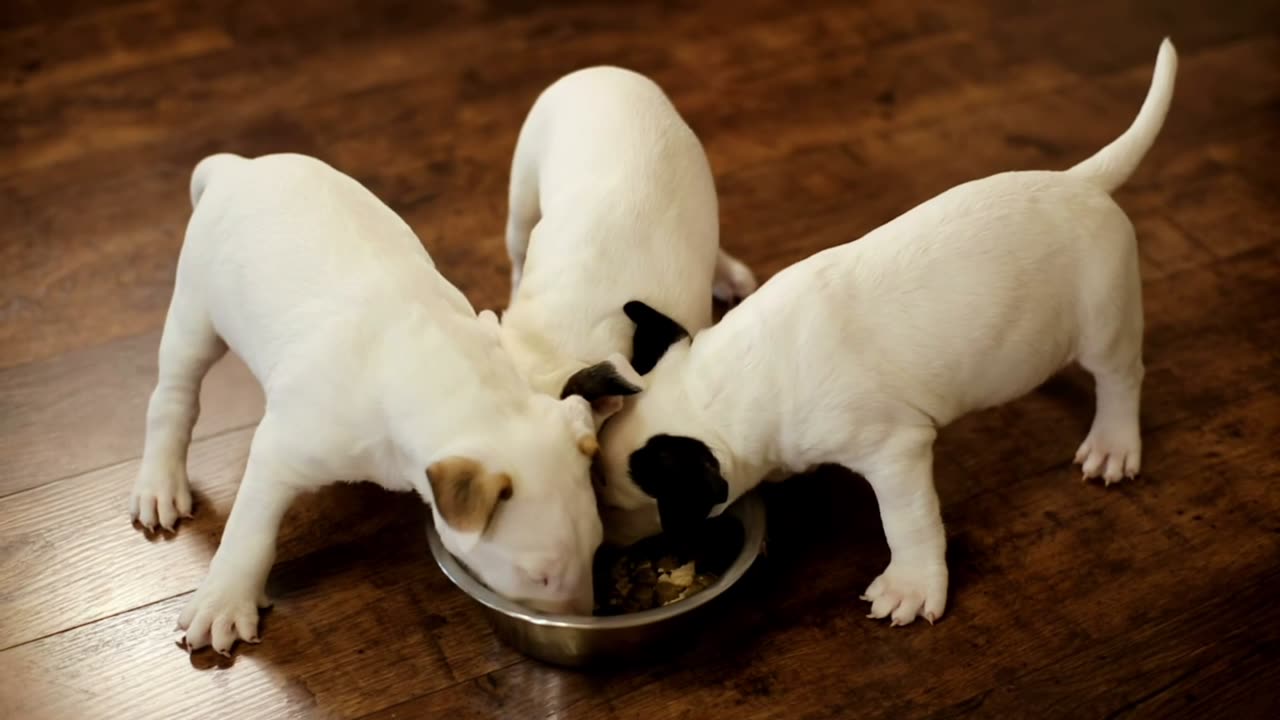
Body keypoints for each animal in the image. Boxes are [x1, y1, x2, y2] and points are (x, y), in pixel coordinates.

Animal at [129, 152, 640, 655]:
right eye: (540, 576)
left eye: (596, 547)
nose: (584, 615)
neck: (452, 381)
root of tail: (236, 167)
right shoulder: (283, 451)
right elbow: (251, 528)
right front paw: (225, 601)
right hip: (195, 313)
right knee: (173, 397)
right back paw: (160, 482)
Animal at [593, 40, 1172, 622]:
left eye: (619, 506)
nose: (603, 549)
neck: (734, 381)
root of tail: (1081, 181)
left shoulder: (895, 452)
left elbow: (906, 522)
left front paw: (911, 586)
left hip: (1105, 317)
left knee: (1120, 378)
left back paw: (1113, 443)